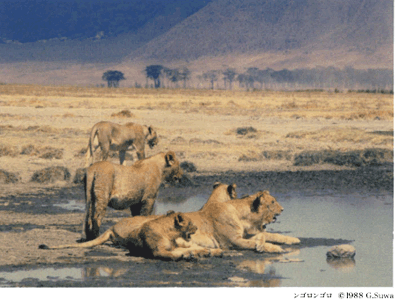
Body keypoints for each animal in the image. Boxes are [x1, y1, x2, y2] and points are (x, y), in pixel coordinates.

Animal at [40, 211, 221, 260]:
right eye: (190, 223)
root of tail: (112, 226)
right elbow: (173, 254)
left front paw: (201, 252)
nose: (196, 227)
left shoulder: (177, 244)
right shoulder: (158, 251)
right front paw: (187, 255)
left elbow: (188, 248)